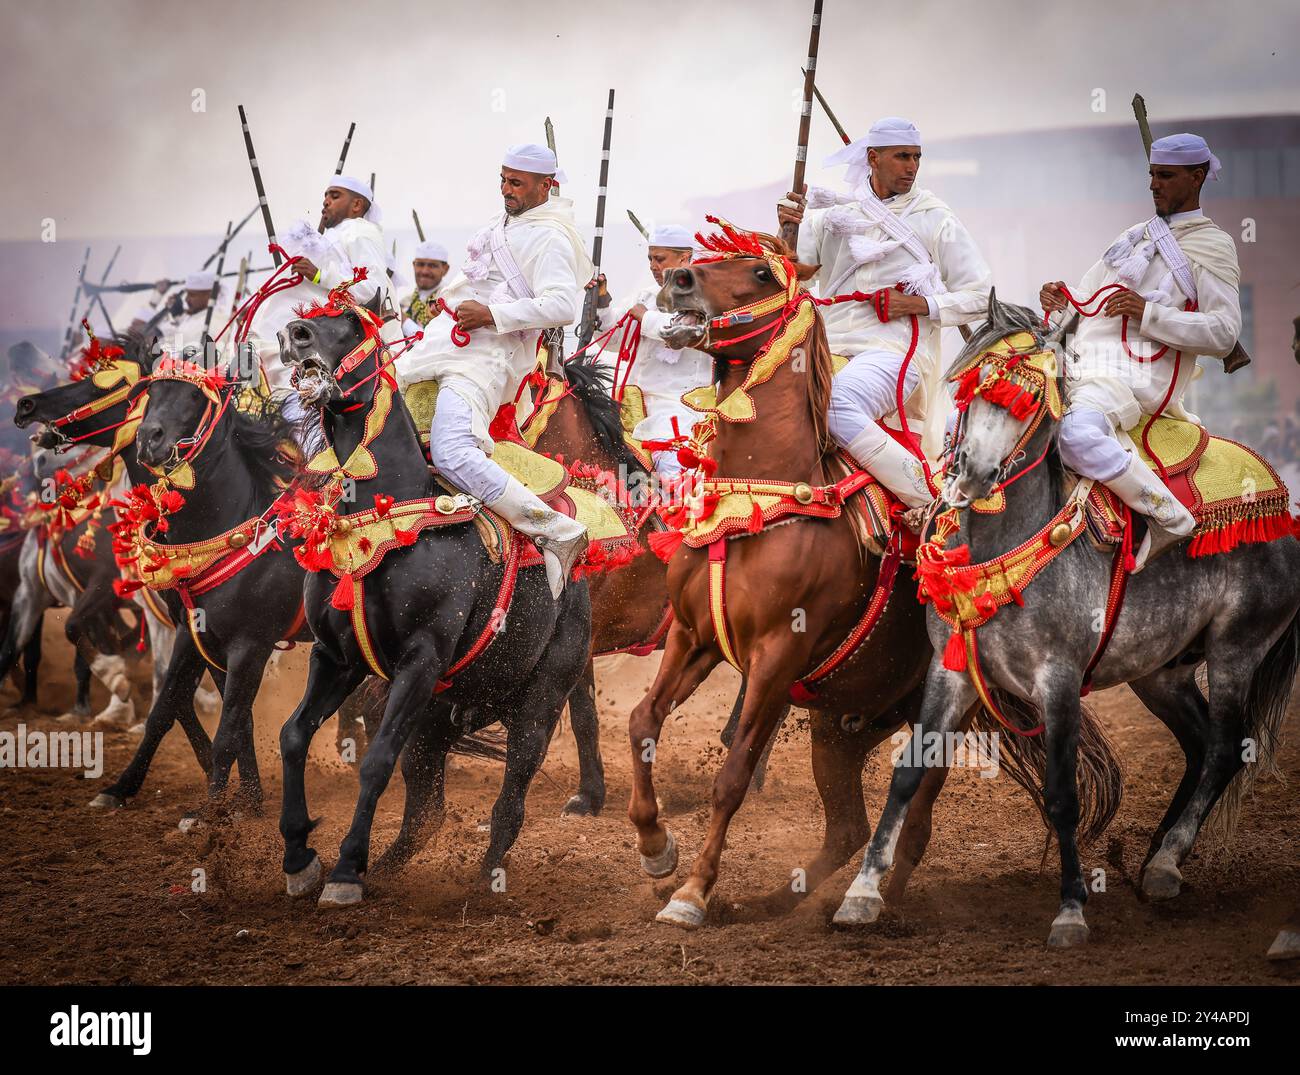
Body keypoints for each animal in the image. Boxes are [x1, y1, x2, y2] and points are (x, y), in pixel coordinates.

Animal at [629, 222, 1118, 930]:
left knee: (910, 820)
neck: (758, 497)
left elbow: (735, 773)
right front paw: (655, 847)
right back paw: (785, 899)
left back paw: (878, 898)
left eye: (761, 273)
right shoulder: (693, 638)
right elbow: (643, 722)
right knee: (848, 828)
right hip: (840, 724)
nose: (678, 279)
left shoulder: (776, 656)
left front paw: (692, 893)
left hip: (936, 710)